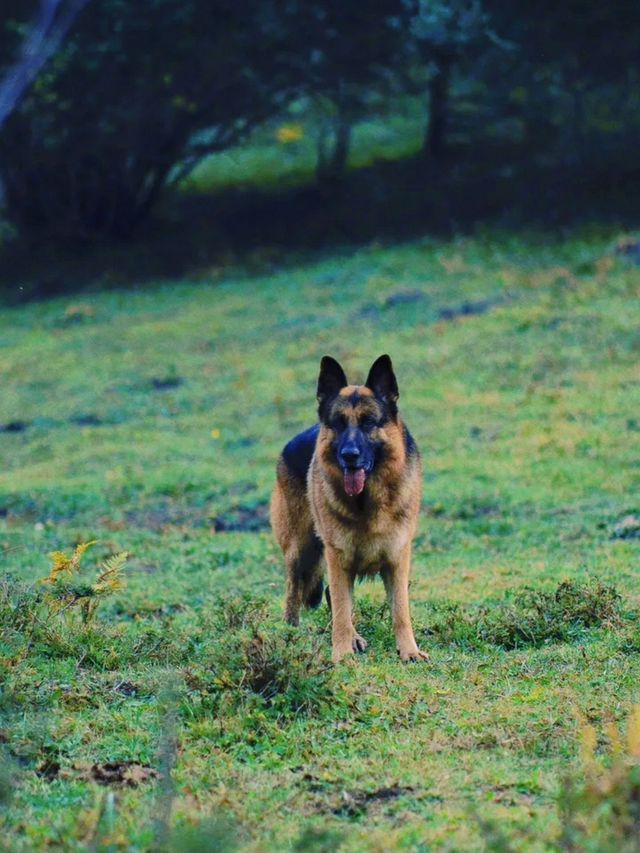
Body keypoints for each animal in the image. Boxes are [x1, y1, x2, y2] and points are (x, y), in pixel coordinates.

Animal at [270, 356, 424, 664]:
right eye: (339, 424)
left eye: (368, 423)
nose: (349, 455)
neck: (367, 503)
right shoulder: (337, 558)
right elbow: (342, 610)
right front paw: (341, 655)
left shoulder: (398, 559)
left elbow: (401, 610)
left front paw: (409, 651)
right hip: (300, 550)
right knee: (294, 594)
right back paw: (293, 635)